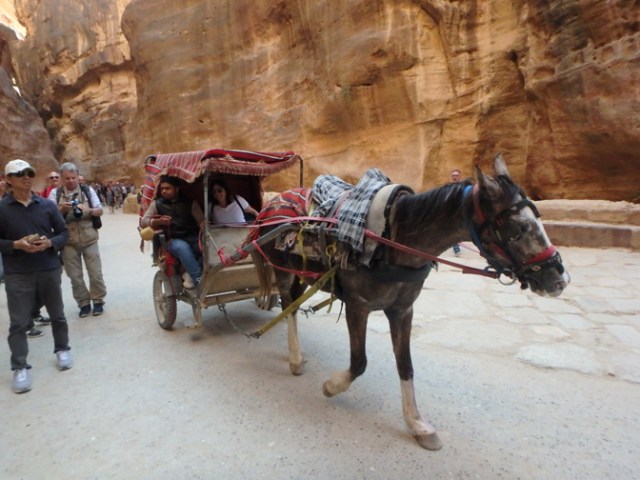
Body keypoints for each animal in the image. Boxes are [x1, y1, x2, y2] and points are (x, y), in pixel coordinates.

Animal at [252, 154, 570, 450]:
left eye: (539, 219)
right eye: (519, 228)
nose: (559, 279)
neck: (390, 239)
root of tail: (272, 204)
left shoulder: (402, 310)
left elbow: (405, 365)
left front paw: (416, 424)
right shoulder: (357, 306)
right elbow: (359, 362)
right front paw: (331, 386)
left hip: (303, 273)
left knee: (292, 304)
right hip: (282, 270)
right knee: (289, 306)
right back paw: (295, 358)